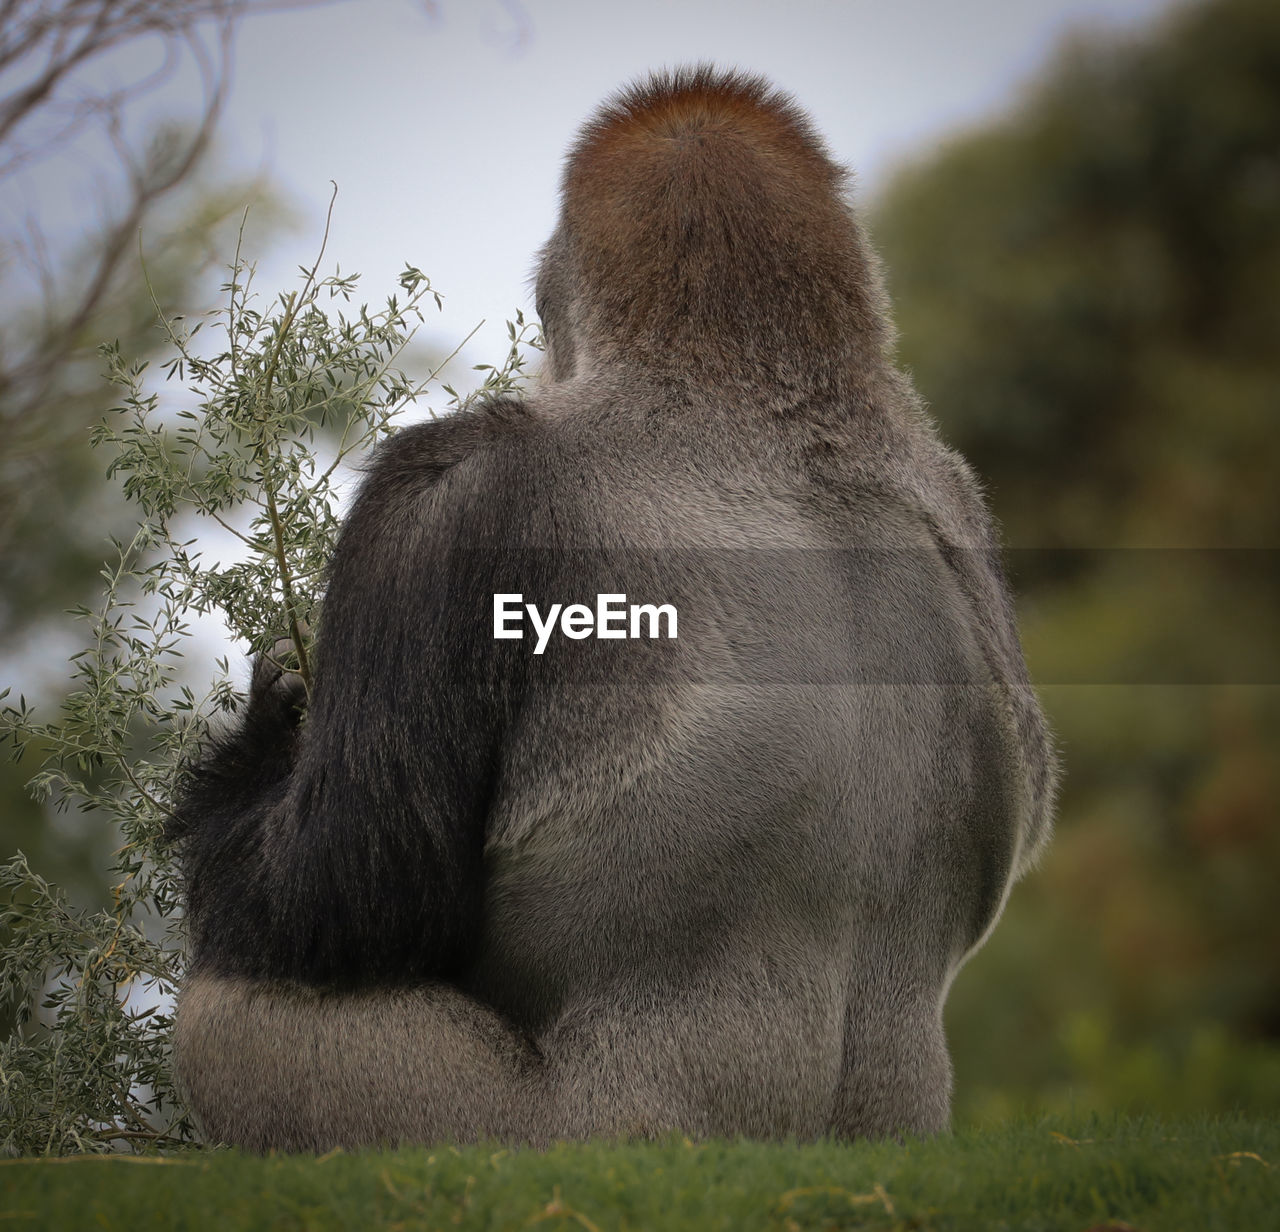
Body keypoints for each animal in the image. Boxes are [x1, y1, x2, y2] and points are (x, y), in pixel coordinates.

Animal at [170, 64, 1054, 1142]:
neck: (758, 396)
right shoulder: (961, 490)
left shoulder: (444, 493)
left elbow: (335, 892)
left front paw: (258, 737)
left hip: (545, 1136)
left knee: (233, 1007)